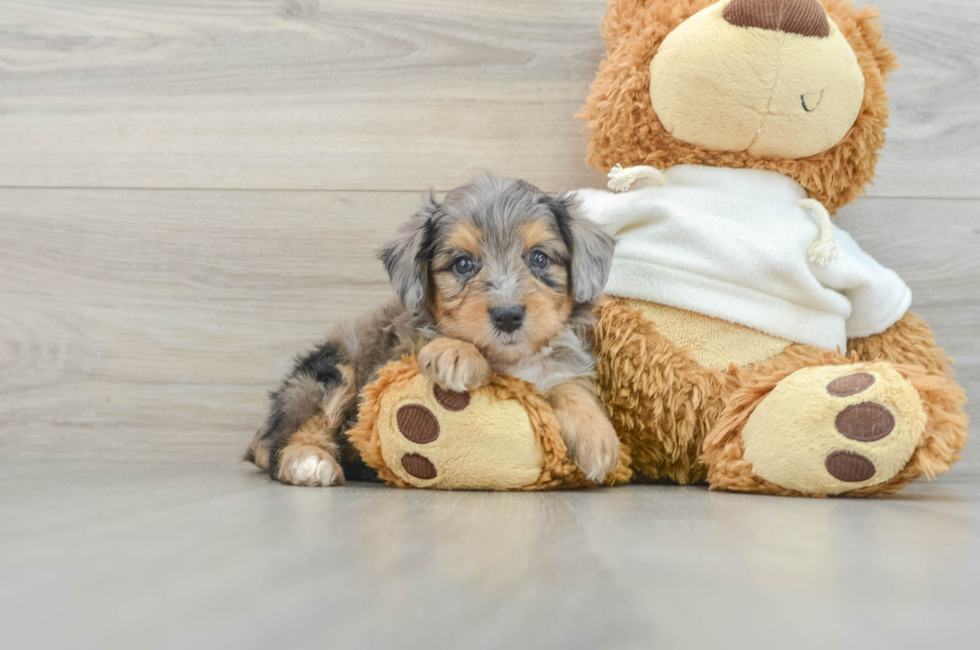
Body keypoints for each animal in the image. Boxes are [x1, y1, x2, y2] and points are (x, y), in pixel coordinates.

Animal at [245, 172, 616, 486]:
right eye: (463, 264)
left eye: (539, 258)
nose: (508, 315)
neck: (509, 360)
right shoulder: (395, 357)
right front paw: (456, 353)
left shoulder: (559, 365)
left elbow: (569, 385)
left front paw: (597, 435)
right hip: (329, 371)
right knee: (293, 433)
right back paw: (308, 460)